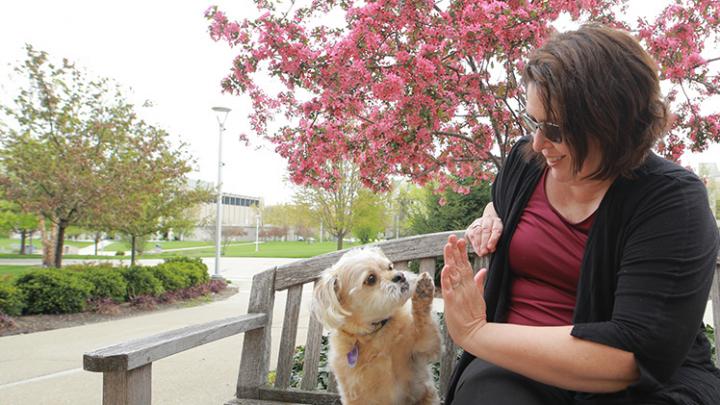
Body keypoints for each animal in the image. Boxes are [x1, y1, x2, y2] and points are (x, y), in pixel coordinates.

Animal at [312, 246, 442, 404]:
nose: (400, 275)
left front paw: (423, 291)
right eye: (371, 279)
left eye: (390, 267)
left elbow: (423, 322)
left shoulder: (424, 346)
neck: (375, 333)